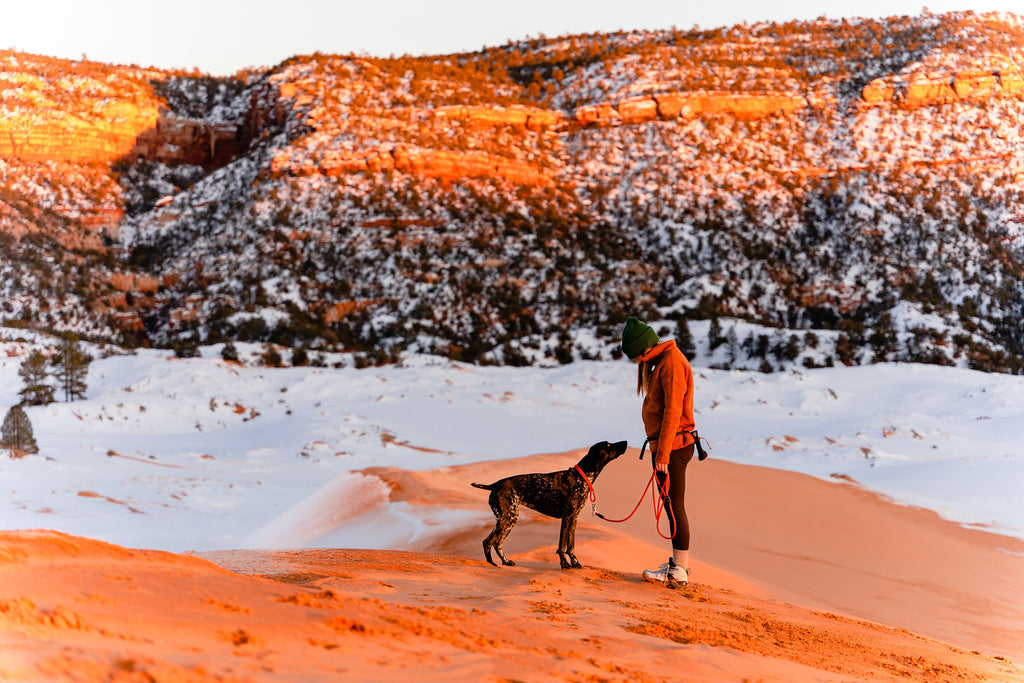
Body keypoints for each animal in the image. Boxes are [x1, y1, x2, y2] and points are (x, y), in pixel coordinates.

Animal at [468, 440, 622, 569]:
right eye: (608, 445)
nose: (625, 442)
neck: (581, 476)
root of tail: (494, 485)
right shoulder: (567, 517)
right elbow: (562, 546)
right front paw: (565, 564)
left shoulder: (574, 518)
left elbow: (571, 546)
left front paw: (575, 563)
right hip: (507, 518)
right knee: (489, 542)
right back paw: (493, 563)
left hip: (509, 519)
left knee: (497, 543)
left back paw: (505, 562)